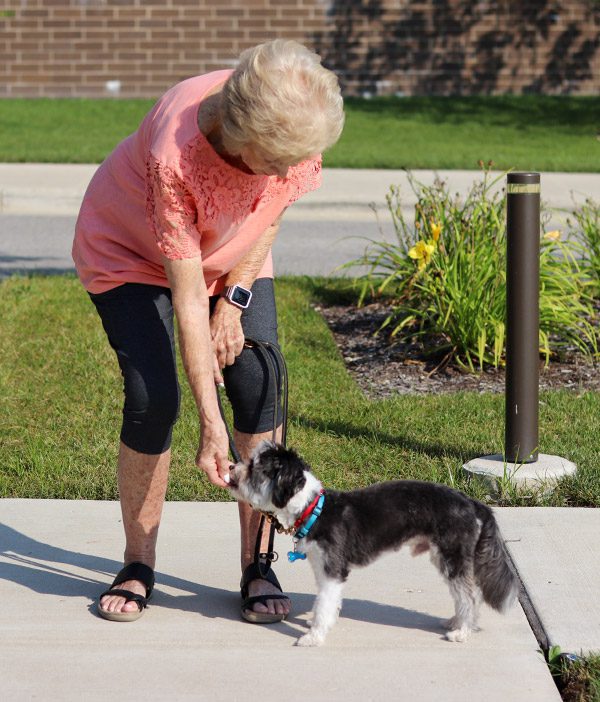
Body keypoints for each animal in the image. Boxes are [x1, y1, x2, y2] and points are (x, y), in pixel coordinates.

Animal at [227, 446, 516, 648]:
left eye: (253, 468)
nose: (231, 467)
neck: (313, 509)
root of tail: (473, 503)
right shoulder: (322, 568)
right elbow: (326, 604)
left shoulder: (332, 570)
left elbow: (324, 604)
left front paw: (313, 636)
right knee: (462, 595)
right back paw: (456, 621)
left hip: (452, 556)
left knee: (470, 596)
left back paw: (462, 631)